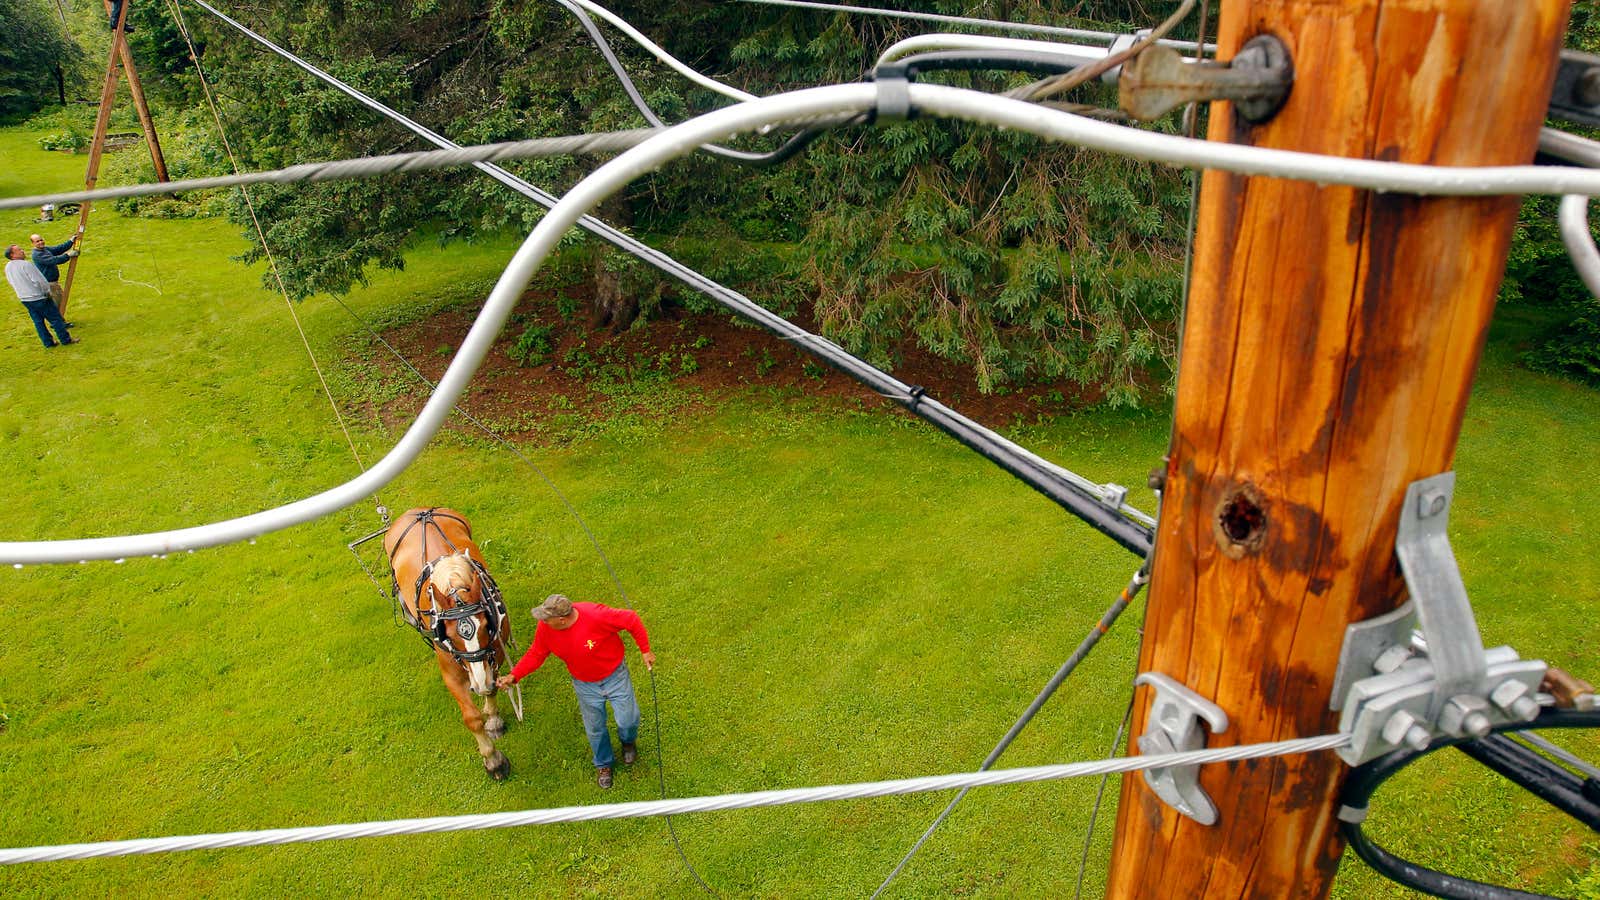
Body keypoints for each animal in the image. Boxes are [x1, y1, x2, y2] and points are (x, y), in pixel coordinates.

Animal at [384, 506, 508, 778]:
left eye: (486, 624)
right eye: (449, 636)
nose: (477, 683)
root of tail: (418, 511)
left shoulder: (496, 652)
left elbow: (492, 686)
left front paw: (493, 720)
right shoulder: (450, 668)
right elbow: (471, 717)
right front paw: (493, 758)